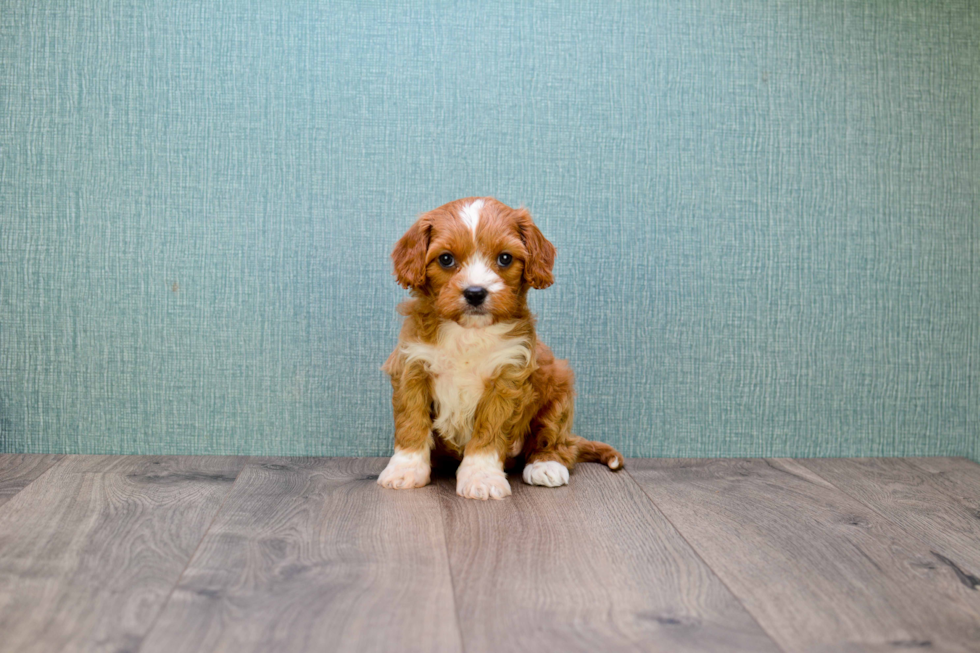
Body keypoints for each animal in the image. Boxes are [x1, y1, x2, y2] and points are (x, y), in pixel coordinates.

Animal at [376, 197, 620, 500]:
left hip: (559, 386)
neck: (469, 332)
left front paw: (481, 478)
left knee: (556, 438)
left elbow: (489, 431)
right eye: (445, 259)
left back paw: (546, 465)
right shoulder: (413, 367)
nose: (475, 292)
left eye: (505, 258)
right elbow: (411, 422)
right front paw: (405, 470)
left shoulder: (508, 376)